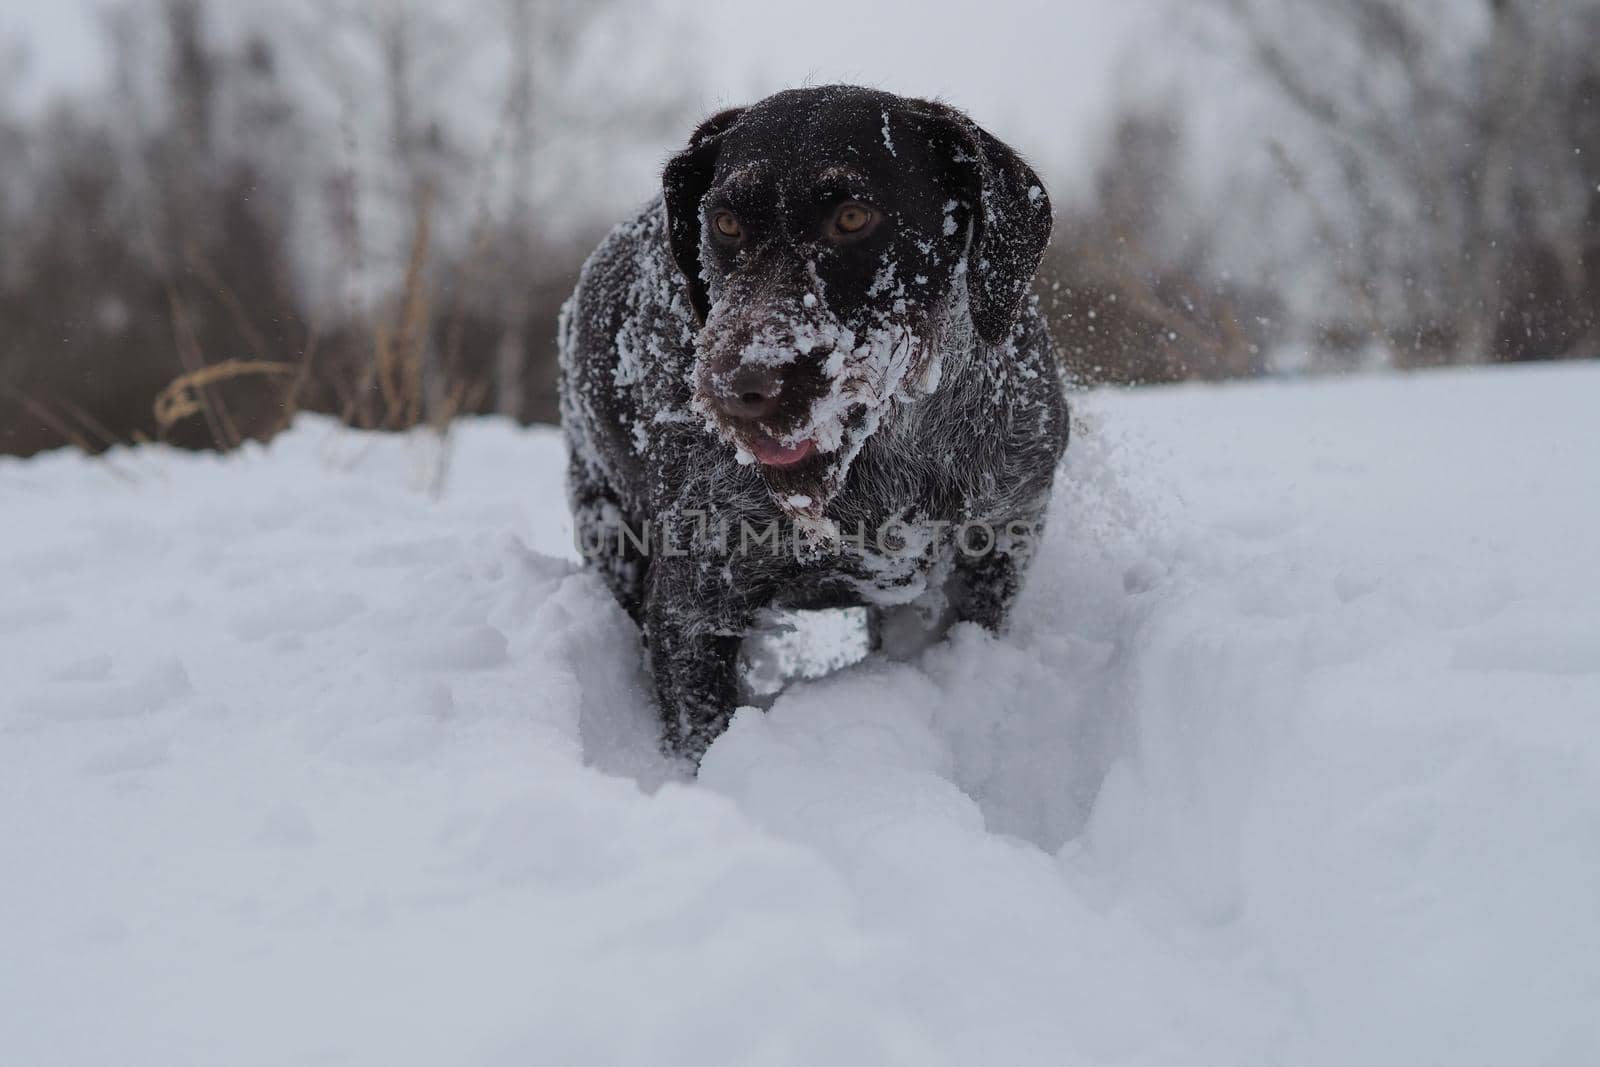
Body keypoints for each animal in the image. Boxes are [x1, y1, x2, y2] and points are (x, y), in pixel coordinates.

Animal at [556, 87, 1068, 764]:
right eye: (725, 223)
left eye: (852, 217)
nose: (736, 391)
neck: (893, 455)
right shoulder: (692, 610)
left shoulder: (1001, 546)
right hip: (608, 527)